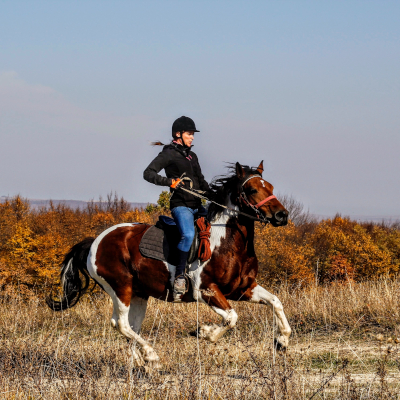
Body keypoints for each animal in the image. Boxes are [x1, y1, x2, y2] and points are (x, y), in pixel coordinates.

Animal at [47, 161, 292, 368]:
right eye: (251, 189)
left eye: (270, 186)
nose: (282, 215)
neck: (227, 241)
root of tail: (95, 242)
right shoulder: (206, 290)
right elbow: (232, 318)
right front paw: (204, 332)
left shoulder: (243, 288)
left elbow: (276, 302)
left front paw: (281, 341)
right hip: (120, 288)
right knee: (121, 324)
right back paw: (151, 355)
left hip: (139, 294)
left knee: (130, 327)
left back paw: (142, 361)